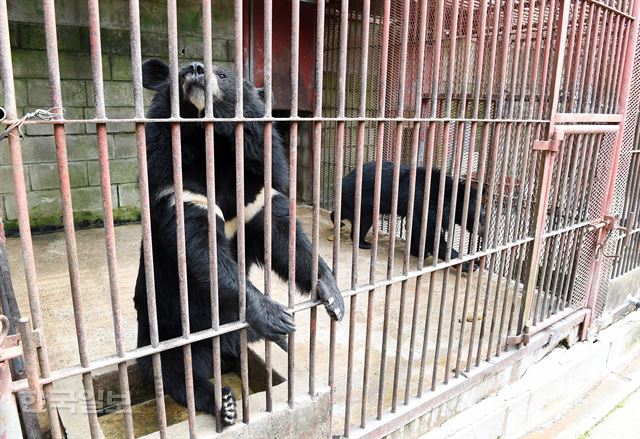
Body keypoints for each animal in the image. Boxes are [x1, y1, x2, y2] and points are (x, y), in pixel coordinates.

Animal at [135, 59, 344, 426]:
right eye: (179, 73)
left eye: (222, 75)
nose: (195, 69)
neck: (217, 150)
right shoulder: (177, 186)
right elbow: (202, 250)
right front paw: (276, 315)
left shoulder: (257, 186)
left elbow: (283, 235)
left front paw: (331, 294)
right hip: (164, 328)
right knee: (174, 371)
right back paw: (225, 402)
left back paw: (285, 345)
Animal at [330, 162, 484, 272]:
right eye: (477, 216)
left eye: (482, 213)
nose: (482, 232)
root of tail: (343, 179)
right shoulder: (424, 205)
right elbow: (429, 234)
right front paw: (468, 264)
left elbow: (417, 231)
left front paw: (419, 252)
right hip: (361, 199)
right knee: (361, 220)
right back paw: (363, 242)